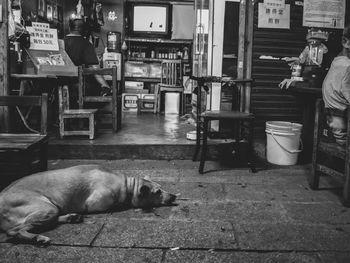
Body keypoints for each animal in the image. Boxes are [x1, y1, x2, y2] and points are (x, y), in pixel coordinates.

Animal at [0, 166, 175, 246]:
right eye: (158, 192)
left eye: (162, 188)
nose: (173, 196)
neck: (127, 185)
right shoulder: (96, 203)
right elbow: (115, 205)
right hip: (46, 208)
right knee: (13, 231)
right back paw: (38, 237)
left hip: (52, 209)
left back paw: (71, 217)